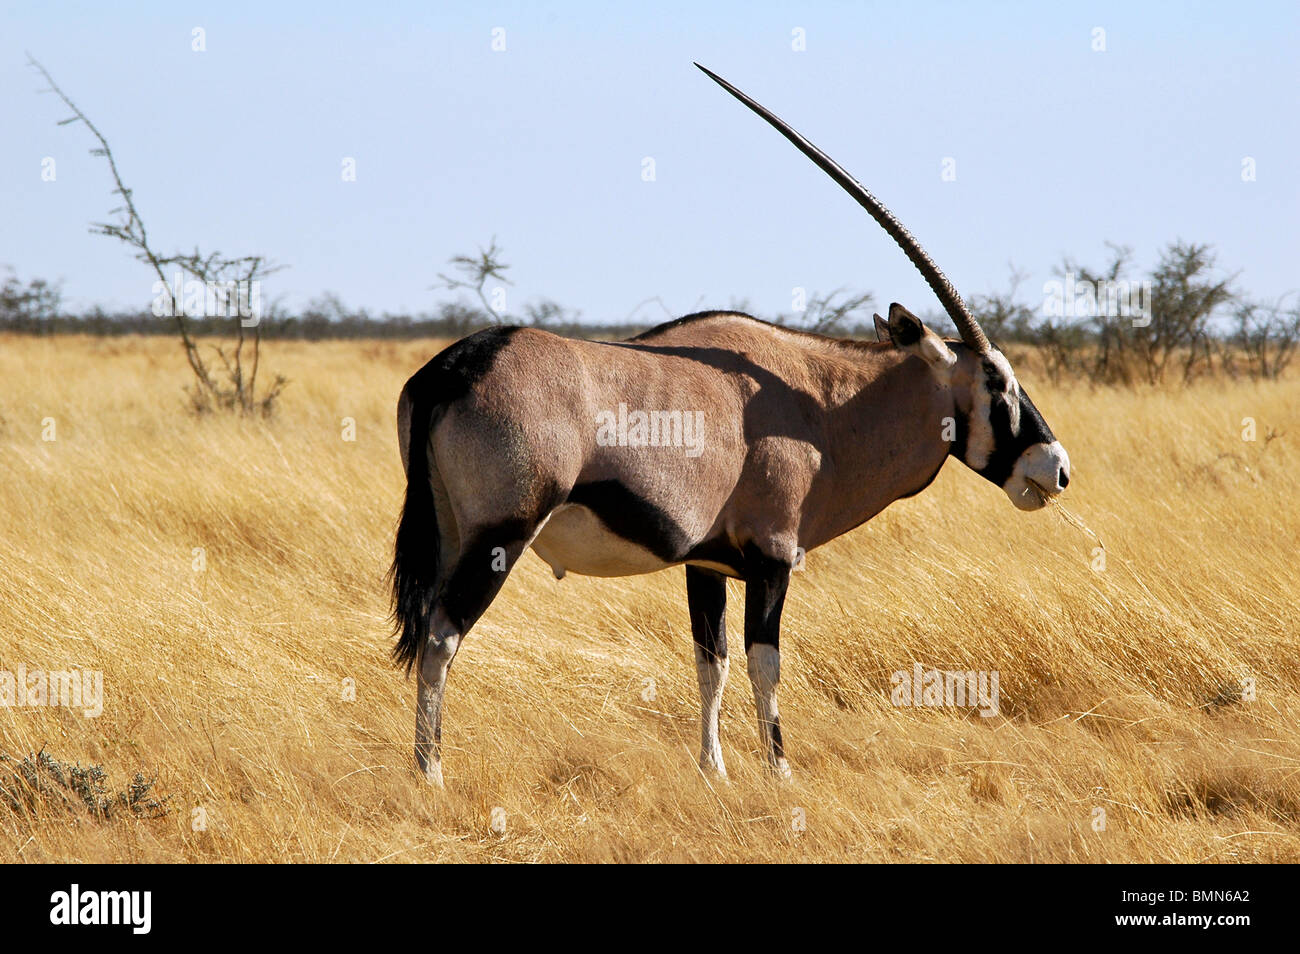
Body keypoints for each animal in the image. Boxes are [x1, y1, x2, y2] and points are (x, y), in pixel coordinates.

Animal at [390, 65, 1071, 785]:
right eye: (997, 382)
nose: (1055, 468)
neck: (822, 407)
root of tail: (452, 369)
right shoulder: (771, 558)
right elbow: (764, 662)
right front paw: (780, 772)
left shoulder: (707, 563)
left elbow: (709, 663)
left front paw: (712, 770)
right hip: (499, 535)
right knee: (441, 637)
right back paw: (431, 774)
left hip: (449, 530)